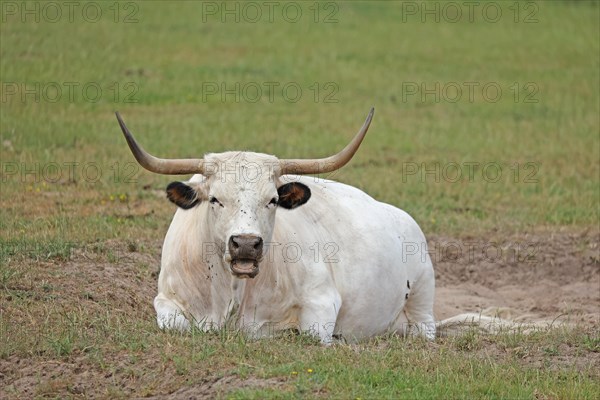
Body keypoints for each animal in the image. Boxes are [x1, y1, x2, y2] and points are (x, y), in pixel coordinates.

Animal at [117, 109, 436, 344]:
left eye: (272, 200)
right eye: (216, 199)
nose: (246, 243)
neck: (232, 293)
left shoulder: (322, 301)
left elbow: (307, 334)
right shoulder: (166, 300)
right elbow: (176, 325)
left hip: (423, 300)